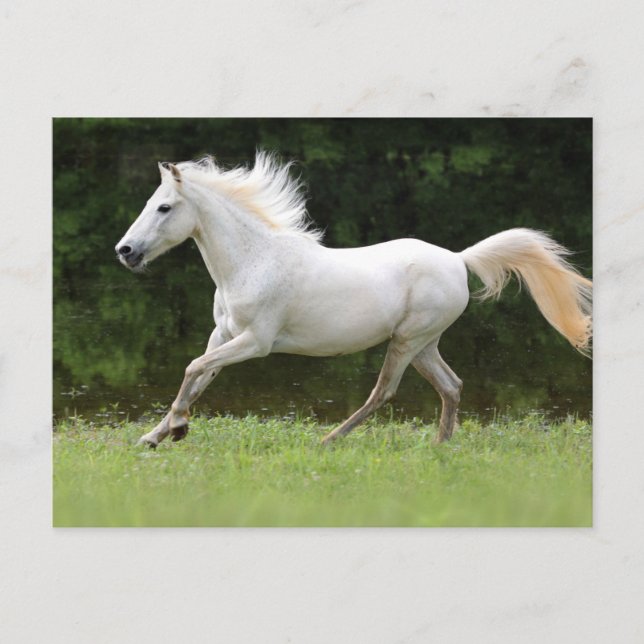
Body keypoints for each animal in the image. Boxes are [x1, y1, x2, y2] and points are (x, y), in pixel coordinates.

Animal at [115, 153, 592, 448]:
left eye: (164, 208)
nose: (125, 251)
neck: (253, 261)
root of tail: (458, 259)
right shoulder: (223, 336)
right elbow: (198, 376)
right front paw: (154, 436)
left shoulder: (255, 342)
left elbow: (191, 369)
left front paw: (178, 429)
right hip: (424, 344)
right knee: (451, 386)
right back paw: (440, 446)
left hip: (407, 341)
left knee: (383, 392)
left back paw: (328, 441)